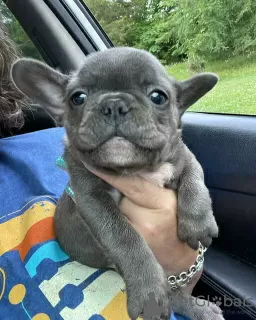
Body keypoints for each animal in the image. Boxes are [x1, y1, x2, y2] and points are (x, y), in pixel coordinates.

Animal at [12, 47, 223, 320]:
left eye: (158, 97)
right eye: (78, 98)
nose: (113, 104)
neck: (135, 170)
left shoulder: (184, 157)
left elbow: (195, 179)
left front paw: (198, 224)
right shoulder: (92, 199)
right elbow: (125, 238)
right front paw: (148, 289)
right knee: (172, 293)